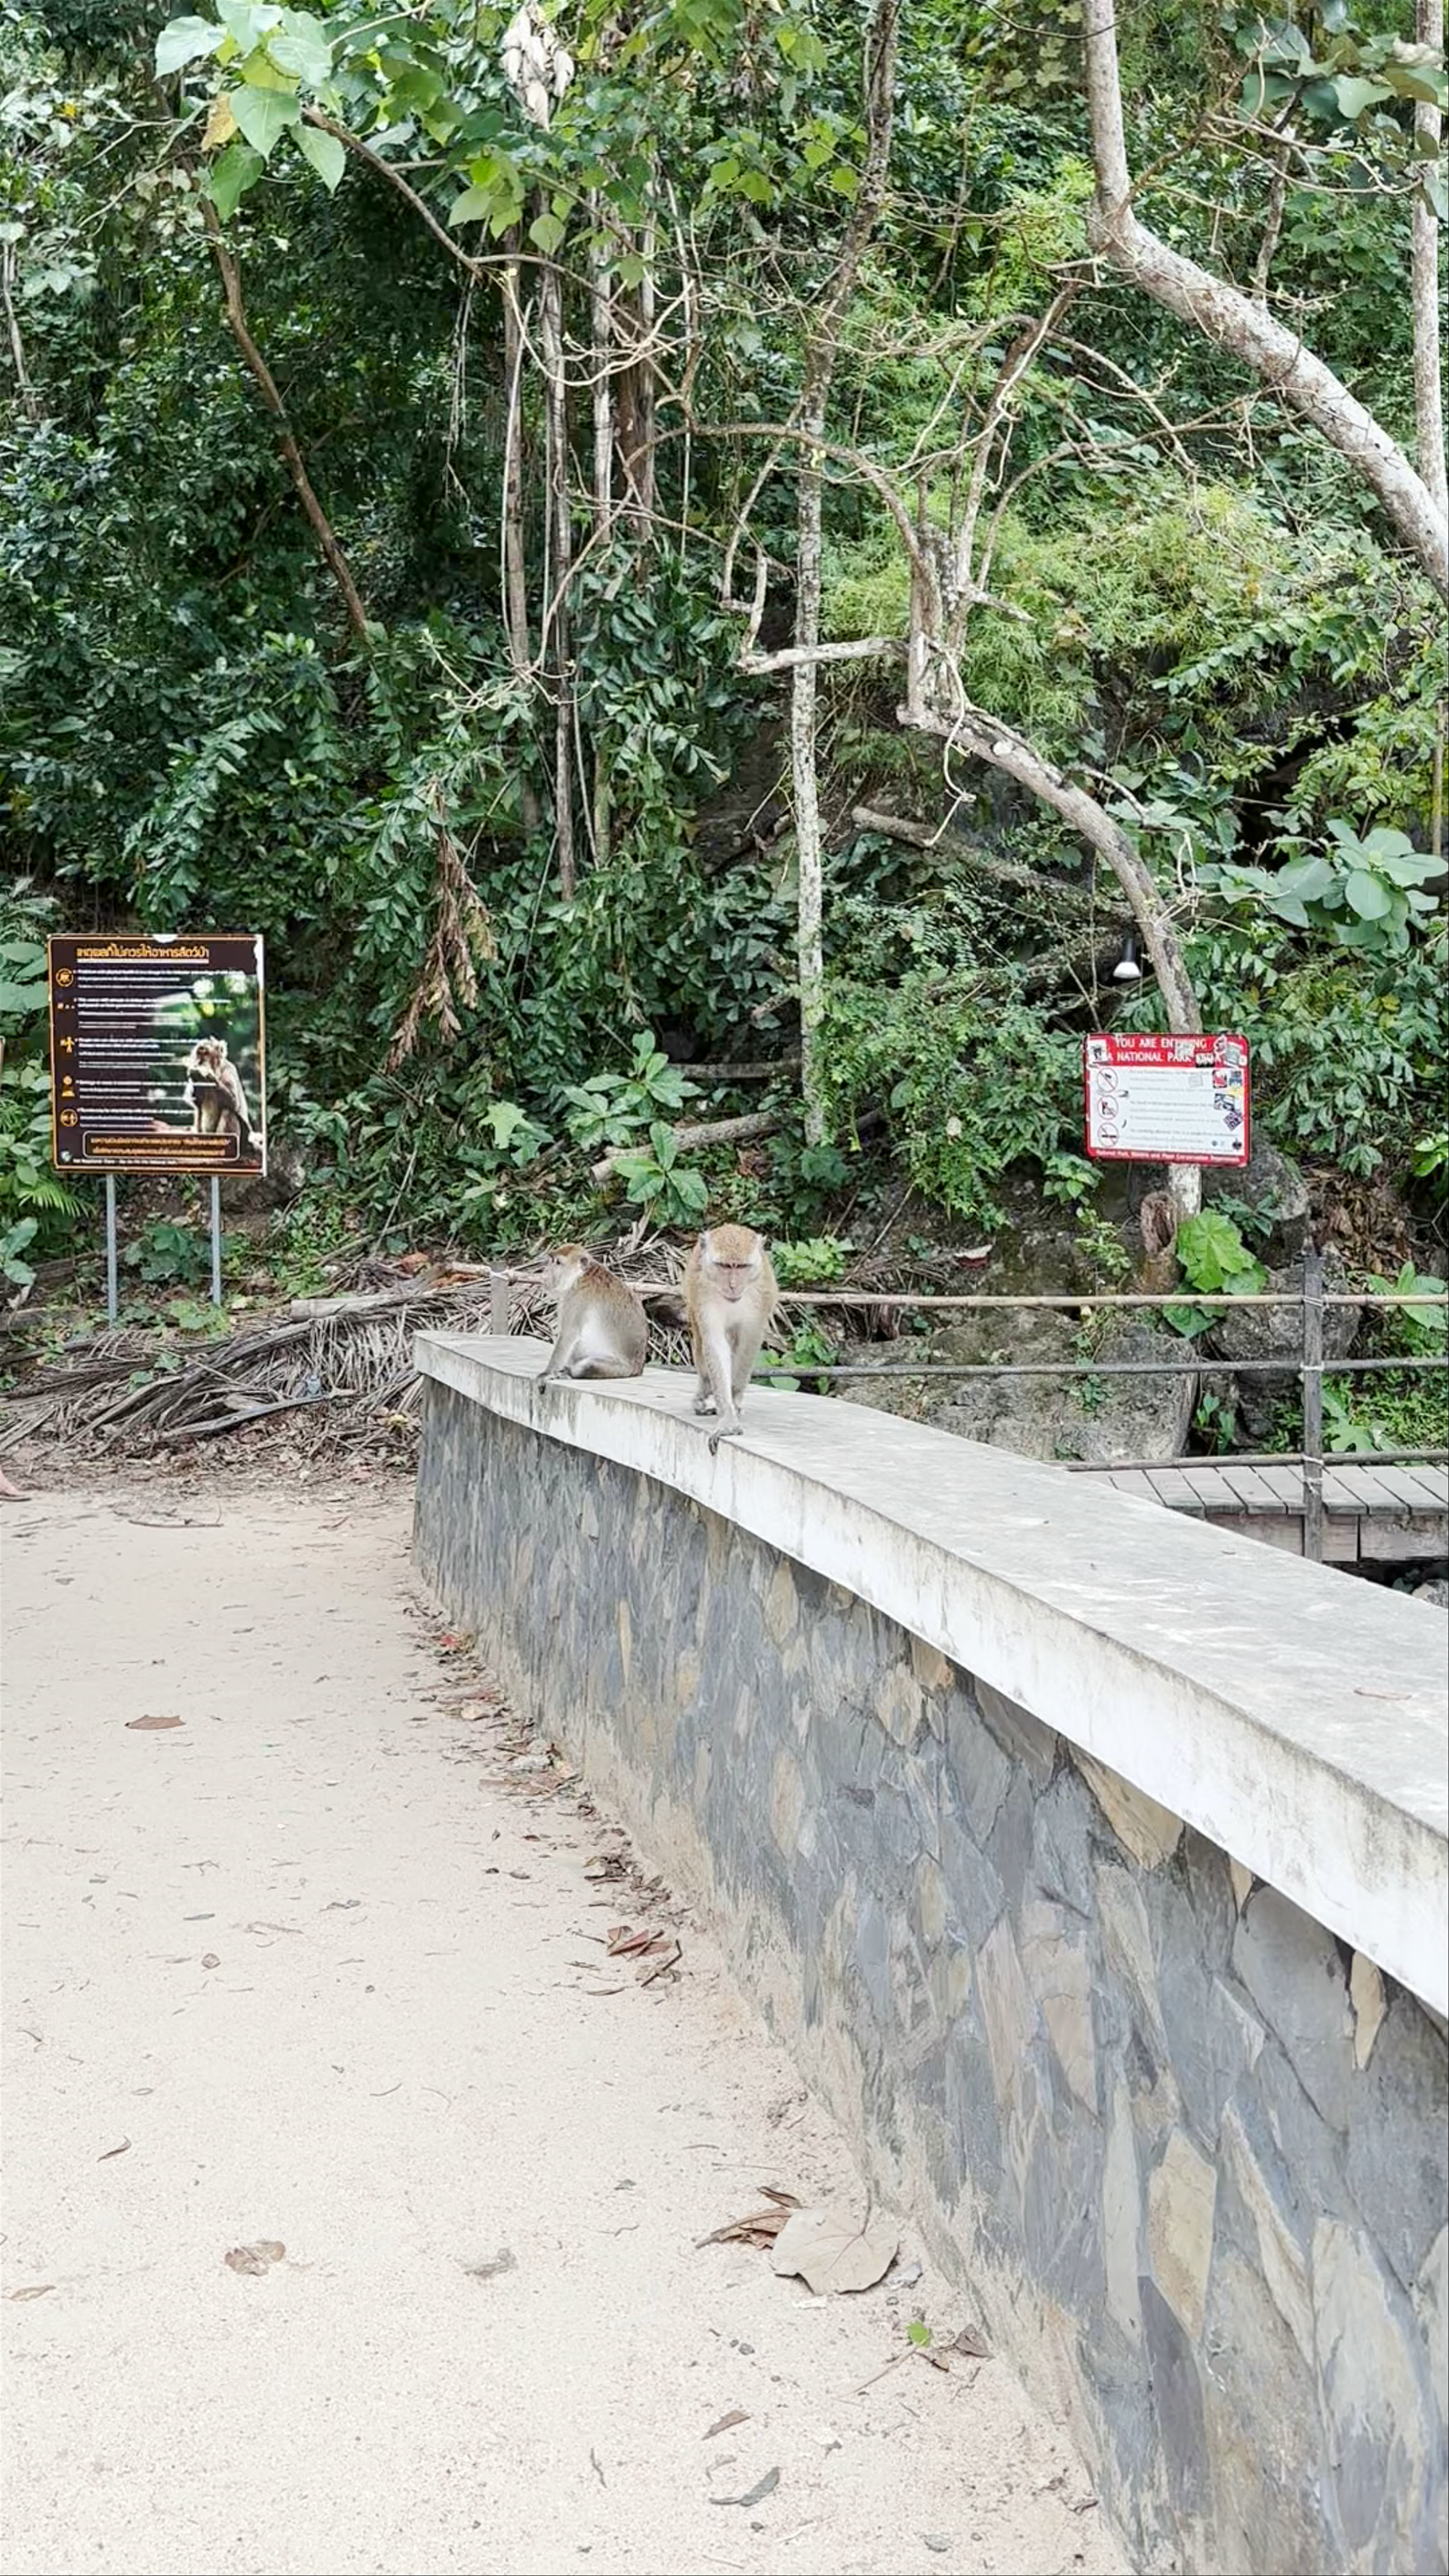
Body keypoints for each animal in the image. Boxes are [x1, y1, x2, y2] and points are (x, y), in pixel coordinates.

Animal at [184, 1038, 257, 1154]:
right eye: (199, 1053)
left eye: (205, 1053)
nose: (200, 1062)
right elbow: (198, 1103)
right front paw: (196, 1075)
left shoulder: (229, 1070)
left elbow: (234, 1103)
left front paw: (210, 1077)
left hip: (243, 1140)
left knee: (228, 1112)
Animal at [536, 1246, 648, 1383]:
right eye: (552, 1261)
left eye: (558, 1263)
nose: (546, 1271)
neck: (580, 1277)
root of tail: (638, 1369)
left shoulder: (577, 1298)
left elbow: (569, 1334)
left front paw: (547, 1373)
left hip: (620, 1369)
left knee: (588, 1366)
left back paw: (570, 1372)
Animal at [683, 1223, 778, 1452]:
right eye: (725, 1266)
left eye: (742, 1267)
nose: (733, 1286)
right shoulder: (702, 1294)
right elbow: (716, 1345)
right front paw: (728, 1416)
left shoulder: (760, 1298)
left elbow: (749, 1342)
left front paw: (734, 1398)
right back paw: (705, 1388)